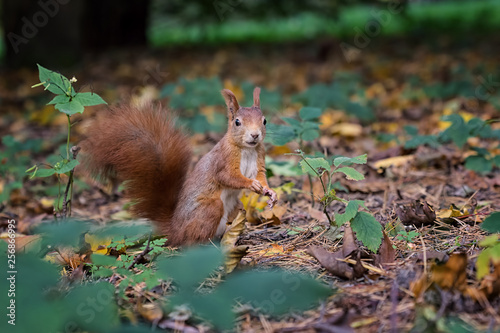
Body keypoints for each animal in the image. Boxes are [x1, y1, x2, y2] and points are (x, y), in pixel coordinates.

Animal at [81, 87, 278, 245]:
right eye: (237, 122)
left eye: (264, 121)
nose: (255, 135)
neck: (246, 149)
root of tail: (175, 230)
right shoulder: (224, 160)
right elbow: (228, 176)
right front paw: (251, 184)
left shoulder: (259, 159)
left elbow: (261, 176)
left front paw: (270, 192)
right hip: (210, 208)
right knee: (192, 241)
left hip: (236, 207)